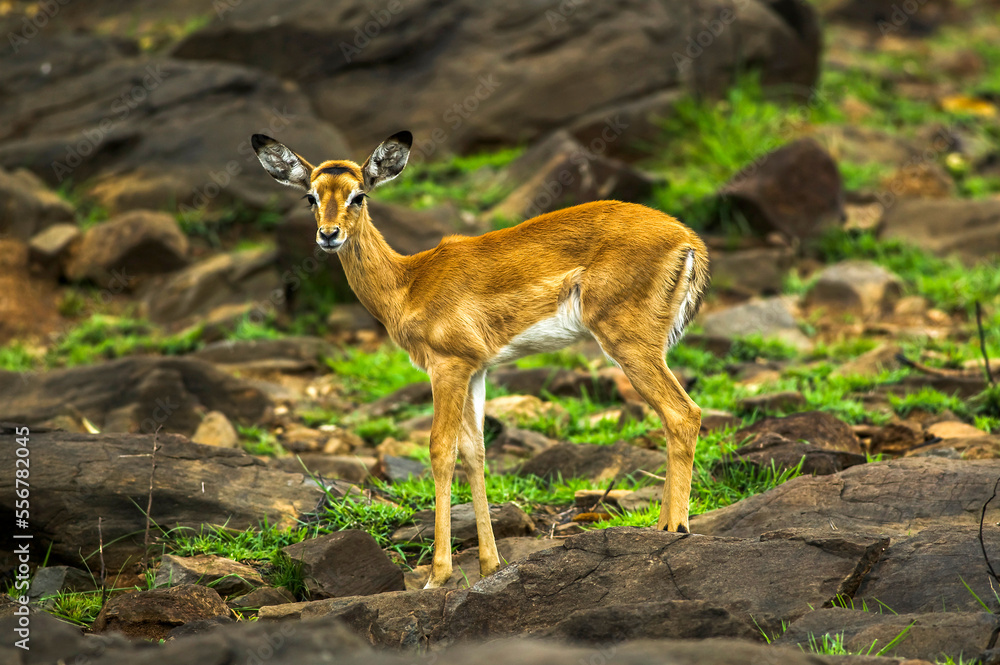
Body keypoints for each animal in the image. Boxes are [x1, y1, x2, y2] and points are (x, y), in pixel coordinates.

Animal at [252, 131, 710, 589]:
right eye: (311, 196)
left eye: (358, 194)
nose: (328, 235)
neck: (408, 283)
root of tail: (689, 240)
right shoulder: (477, 371)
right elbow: (476, 452)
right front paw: (491, 565)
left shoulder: (446, 367)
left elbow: (441, 450)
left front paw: (438, 575)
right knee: (673, 418)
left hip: (628, 343)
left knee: (683, 413)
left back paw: (675, 527)